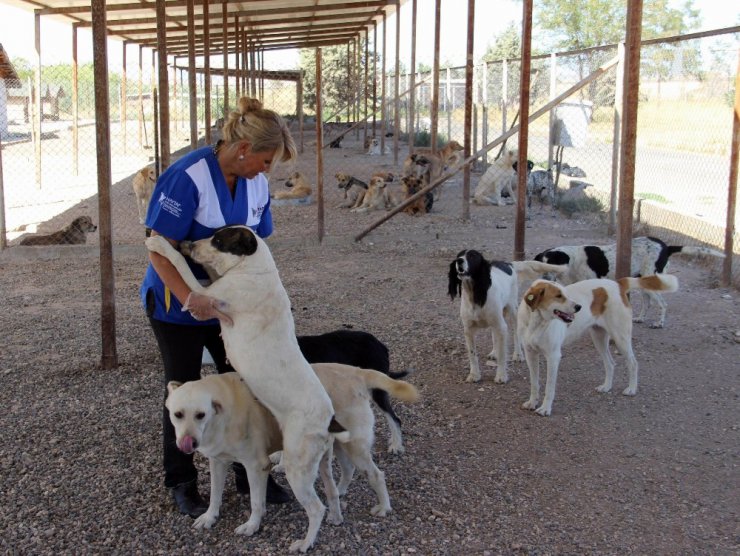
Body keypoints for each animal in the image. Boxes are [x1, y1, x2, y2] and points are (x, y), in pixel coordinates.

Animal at [148, 226, 350, 552]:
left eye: (219, 240)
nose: (188, 242)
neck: (255, 268)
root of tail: (328, 417)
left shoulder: (205, 294)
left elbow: (181, 266)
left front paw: (161, 246)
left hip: (296, 467)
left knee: (315, 508)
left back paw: (305, 543)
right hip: (319, 464)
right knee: (330, 493)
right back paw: (335, 518)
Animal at [165, 364, 420, 540]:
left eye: (200, 415)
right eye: (178, 415)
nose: (188, 443)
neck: (221, 413)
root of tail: (356, 372)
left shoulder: (255, 465)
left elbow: (256, 501)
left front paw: (252, 525)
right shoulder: (217, 462)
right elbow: (215, 495)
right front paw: (209, 517)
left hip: (354, 446)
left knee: (376, 475)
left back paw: (384, 507)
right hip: (339, 444)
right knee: (348, 469)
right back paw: (339, 492)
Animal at [448, 250, 568, 384]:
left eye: (472, 256)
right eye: (459, 255)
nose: (459, 261)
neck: (475, 295)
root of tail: (509, 264)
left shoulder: (501, 326)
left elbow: (502, 354)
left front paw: (501, 375)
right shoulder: (468, 330)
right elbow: (472, 354)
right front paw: (474, 375)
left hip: (513, 310)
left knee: (516, 334)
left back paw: (518, 354)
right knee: (494, 334)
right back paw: (494, 352)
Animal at [516, 274, 680, 416]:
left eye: (565, 293)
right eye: (558, 296)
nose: (579, 307)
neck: (536, 323)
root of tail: (618, 284)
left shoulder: (553, 357)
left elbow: (549, 387)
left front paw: (545, 408)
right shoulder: (530, 355)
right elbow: (534, 383)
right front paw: (532, 403)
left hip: (621, 338)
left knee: (633, 363)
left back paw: (632, 389)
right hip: (598, 338)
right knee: (610, 364)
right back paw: (606, 387)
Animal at [536, 236, 724, 330]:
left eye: (552, 265)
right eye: (541, 265)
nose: (544, 279)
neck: (573, 261)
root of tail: (666, 247)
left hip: (652, 281)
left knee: (663, 304)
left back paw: (659, 323)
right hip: (643, 283)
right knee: (647, 302)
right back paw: (640, 318)